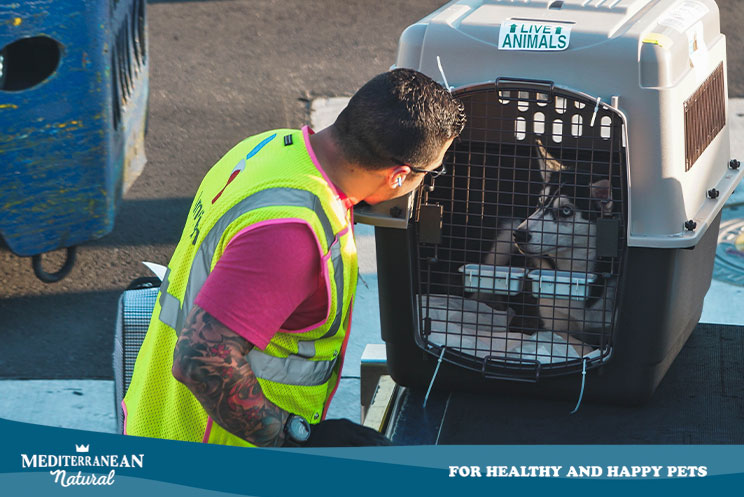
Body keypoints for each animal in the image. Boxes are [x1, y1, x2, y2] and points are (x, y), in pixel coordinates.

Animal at [416, 85, 624, 372]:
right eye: (538, 203)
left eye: (566, 211)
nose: (521, 234)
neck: (572, 273)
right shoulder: (539, 322)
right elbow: (576, 344)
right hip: (501, 243)